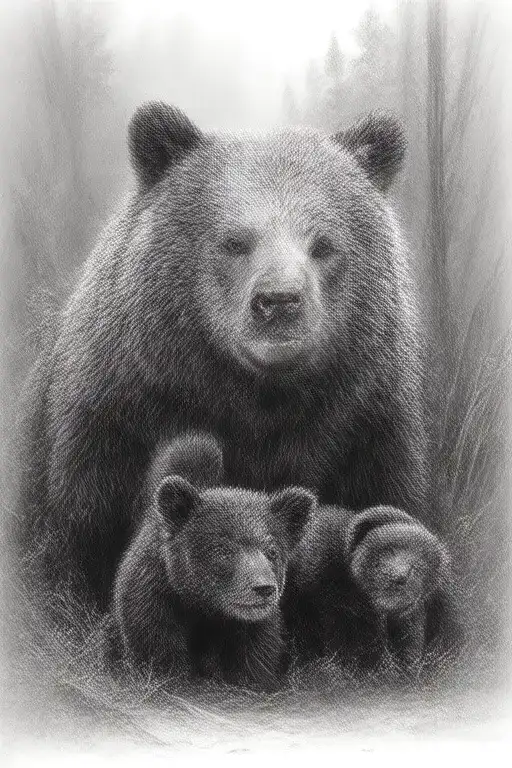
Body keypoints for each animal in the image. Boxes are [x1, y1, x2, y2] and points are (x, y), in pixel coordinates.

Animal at [17, 101, 437, 624]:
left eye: (323, 244)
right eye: (235, 241)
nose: (279, 301)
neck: (252, 400)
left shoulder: (365, 423)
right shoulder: (115, 418)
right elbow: (83, 537)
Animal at [108, 432, 316, 691]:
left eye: (272, 551)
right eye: (223, 550)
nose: (263, 588)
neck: (205, 609)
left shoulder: (254, 631)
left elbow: (255, 664)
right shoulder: (153, 606)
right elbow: (160, 655)